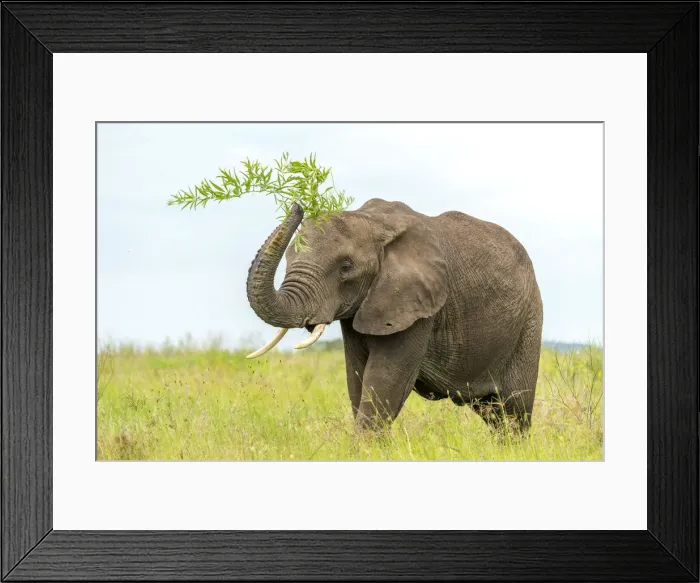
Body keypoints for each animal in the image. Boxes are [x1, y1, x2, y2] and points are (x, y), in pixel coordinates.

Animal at [245, 198, 543, 434]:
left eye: (346, 267)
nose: (298, 205)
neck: (373, 222)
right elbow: (357, 379)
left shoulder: (417, 306)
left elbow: (385, 380)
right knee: (493, 413)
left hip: (529, 321)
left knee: (515, 411)